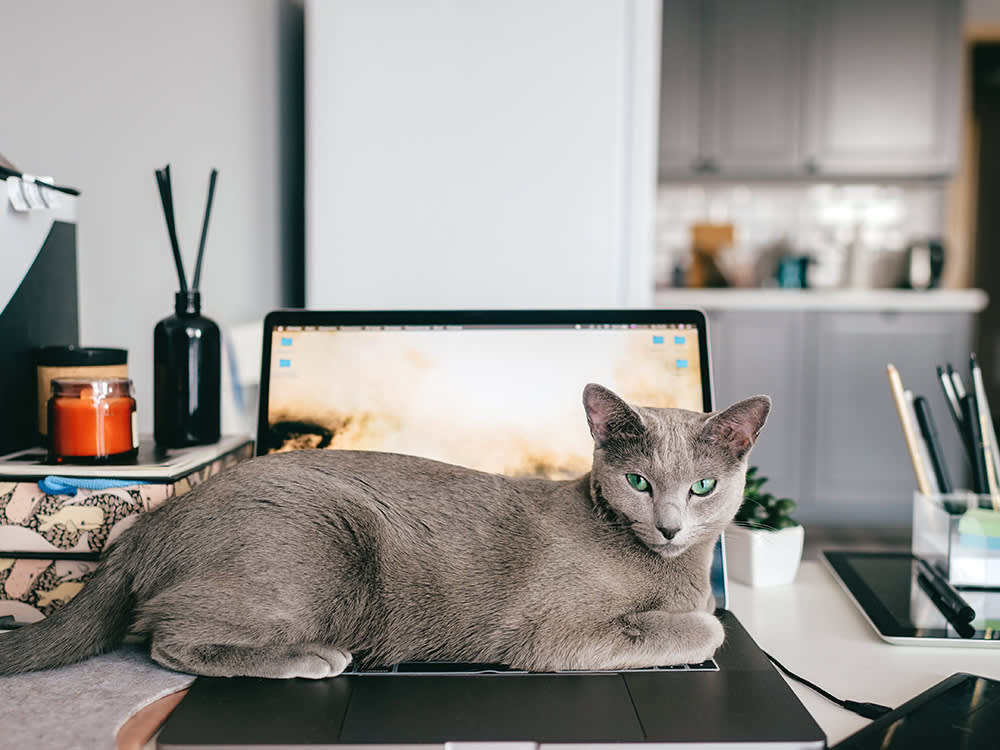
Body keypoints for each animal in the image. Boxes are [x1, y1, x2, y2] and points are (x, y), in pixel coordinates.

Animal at [0, 384, 768, 680]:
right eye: (638, 482)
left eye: (702, 488)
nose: (668, 526)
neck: (670, 570)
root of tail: (150, 524)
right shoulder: (556, 635)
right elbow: (708, 627)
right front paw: (696, 623)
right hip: (319, 536)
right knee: (168, 642)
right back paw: (311, 658)